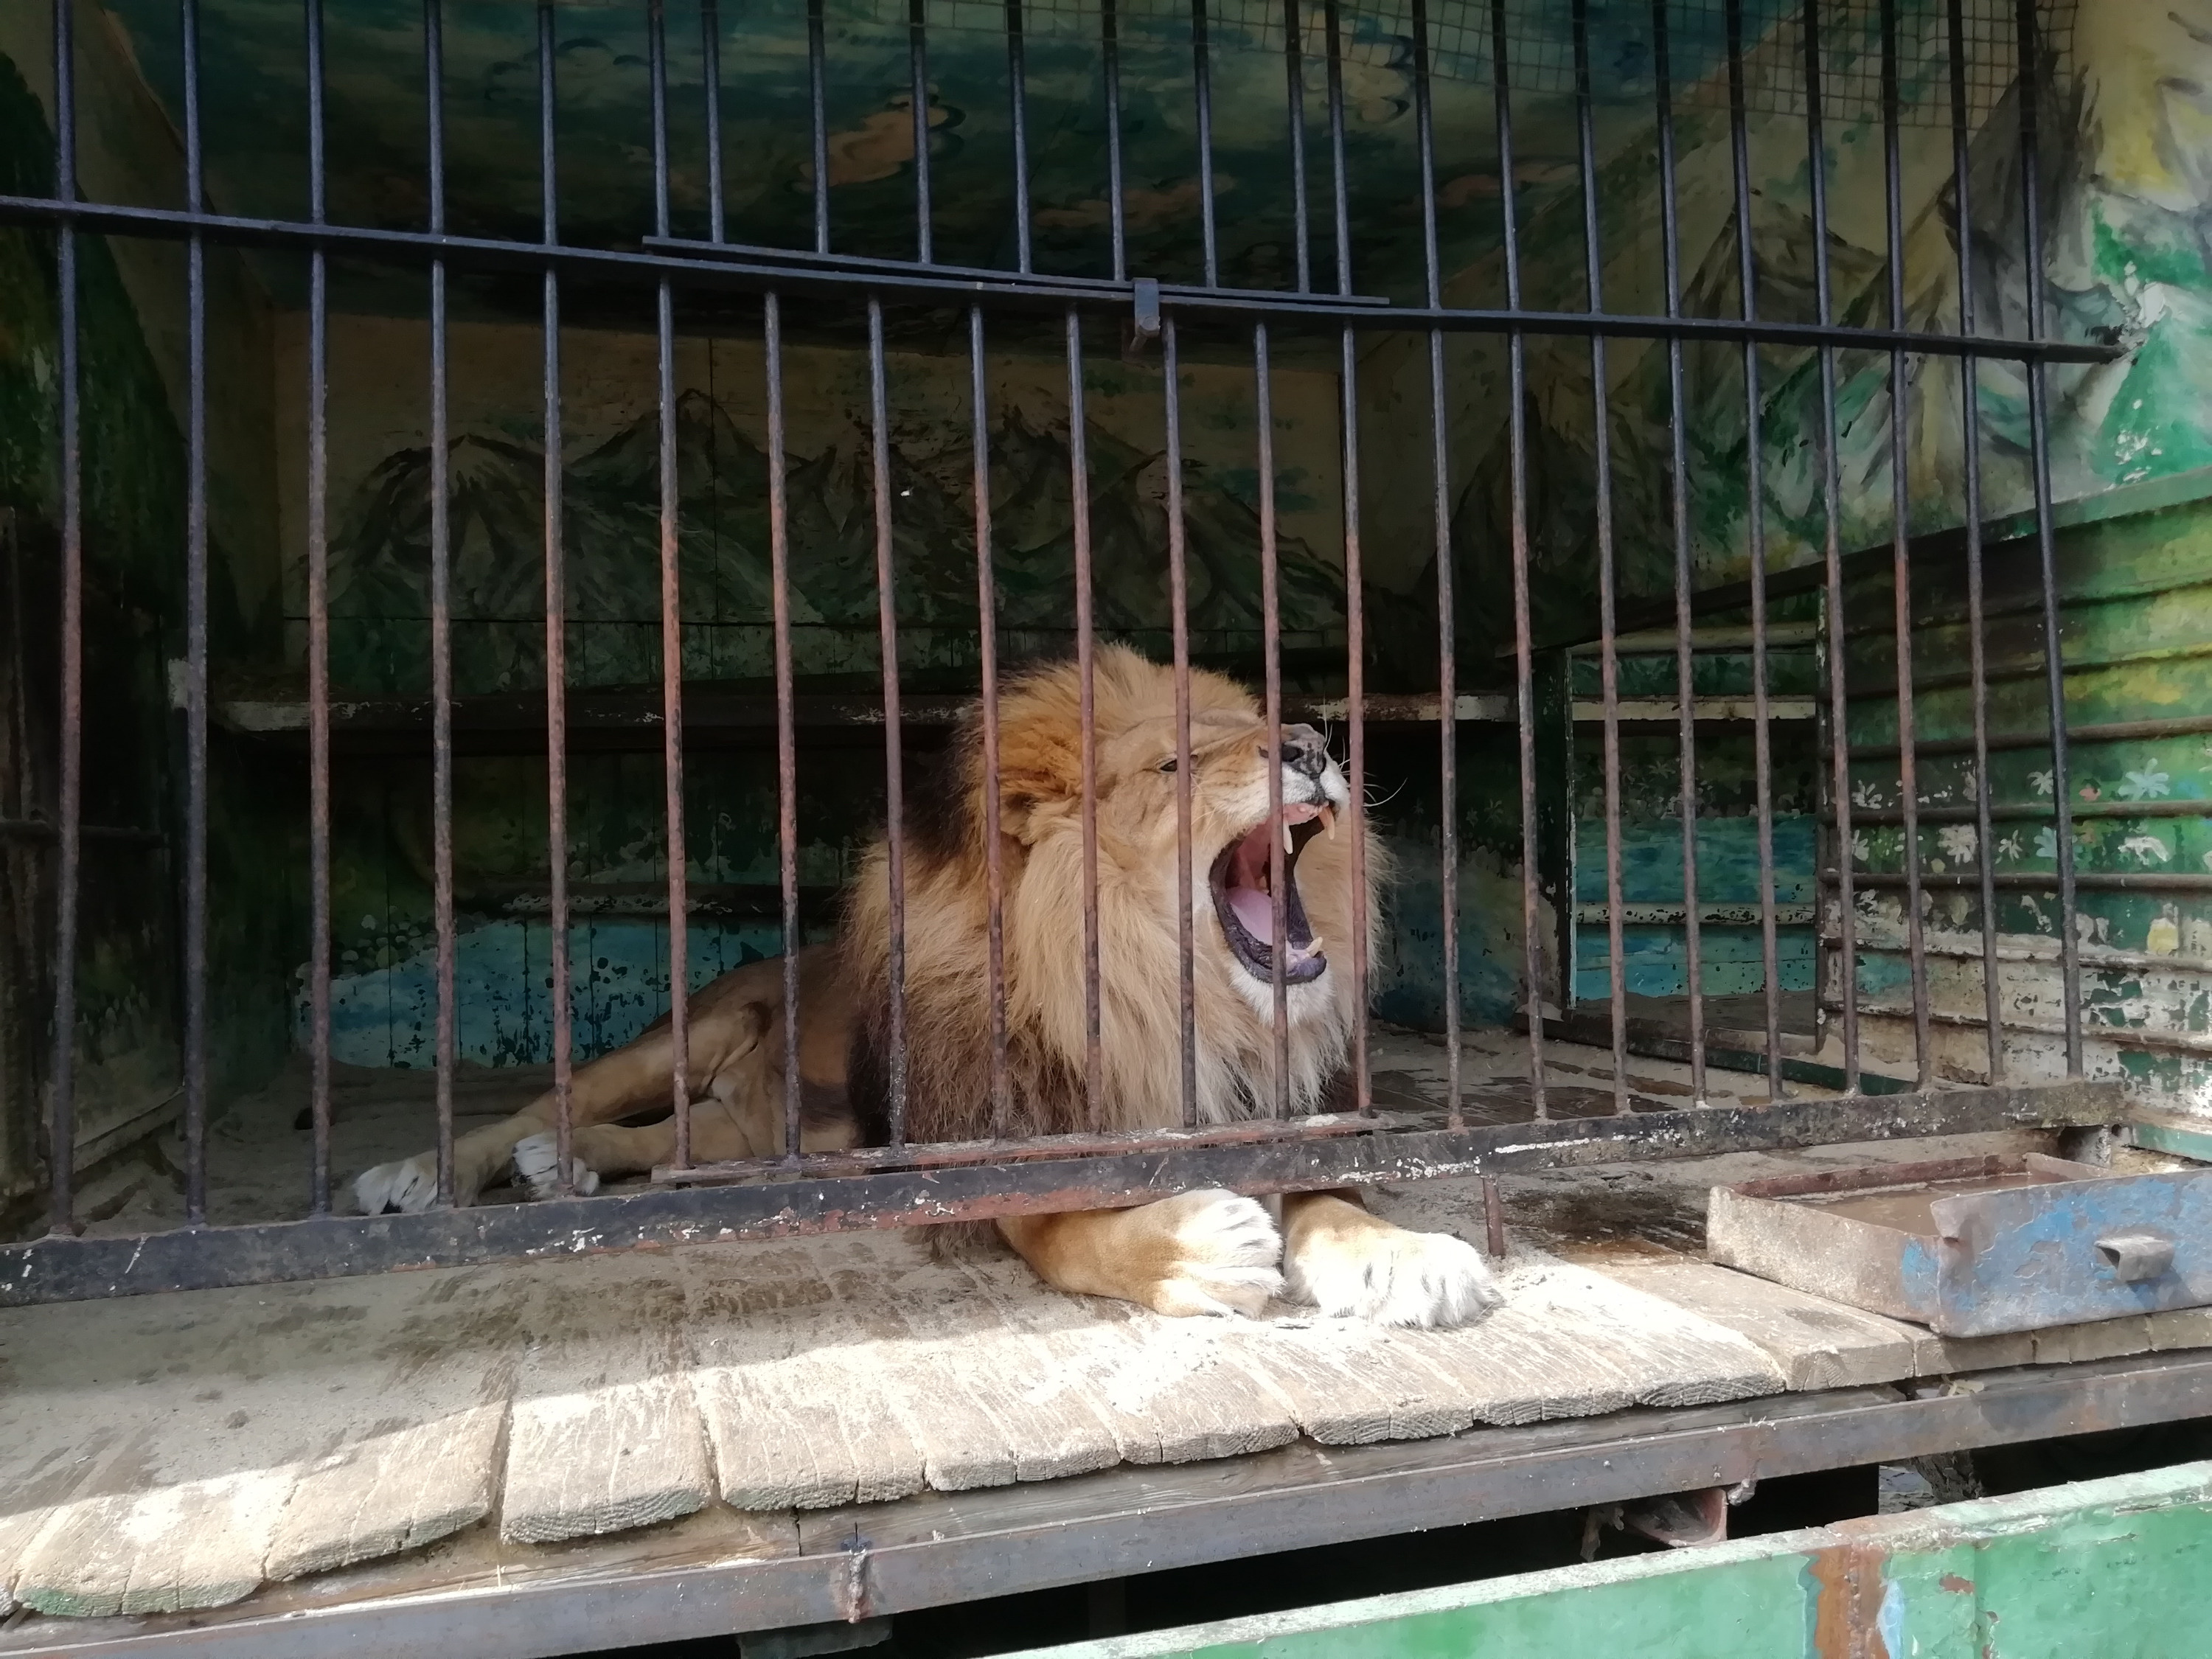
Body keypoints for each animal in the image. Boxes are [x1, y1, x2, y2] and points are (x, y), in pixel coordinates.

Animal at [358, 641, 1504, 1336]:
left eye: (1270, 731)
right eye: (1175, 765)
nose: (1313, 745)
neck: (1160, 1003)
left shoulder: (1276, 1102)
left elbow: (1330, 1191)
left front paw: (1398, 1259)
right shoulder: (984, 1148)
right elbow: (1071, 1233)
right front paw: (1196, 1249)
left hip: (748, 1129)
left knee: (669, 1145)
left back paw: (577, 1167)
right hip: (684, 1035)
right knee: (549, 1103)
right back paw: (426, 1172)